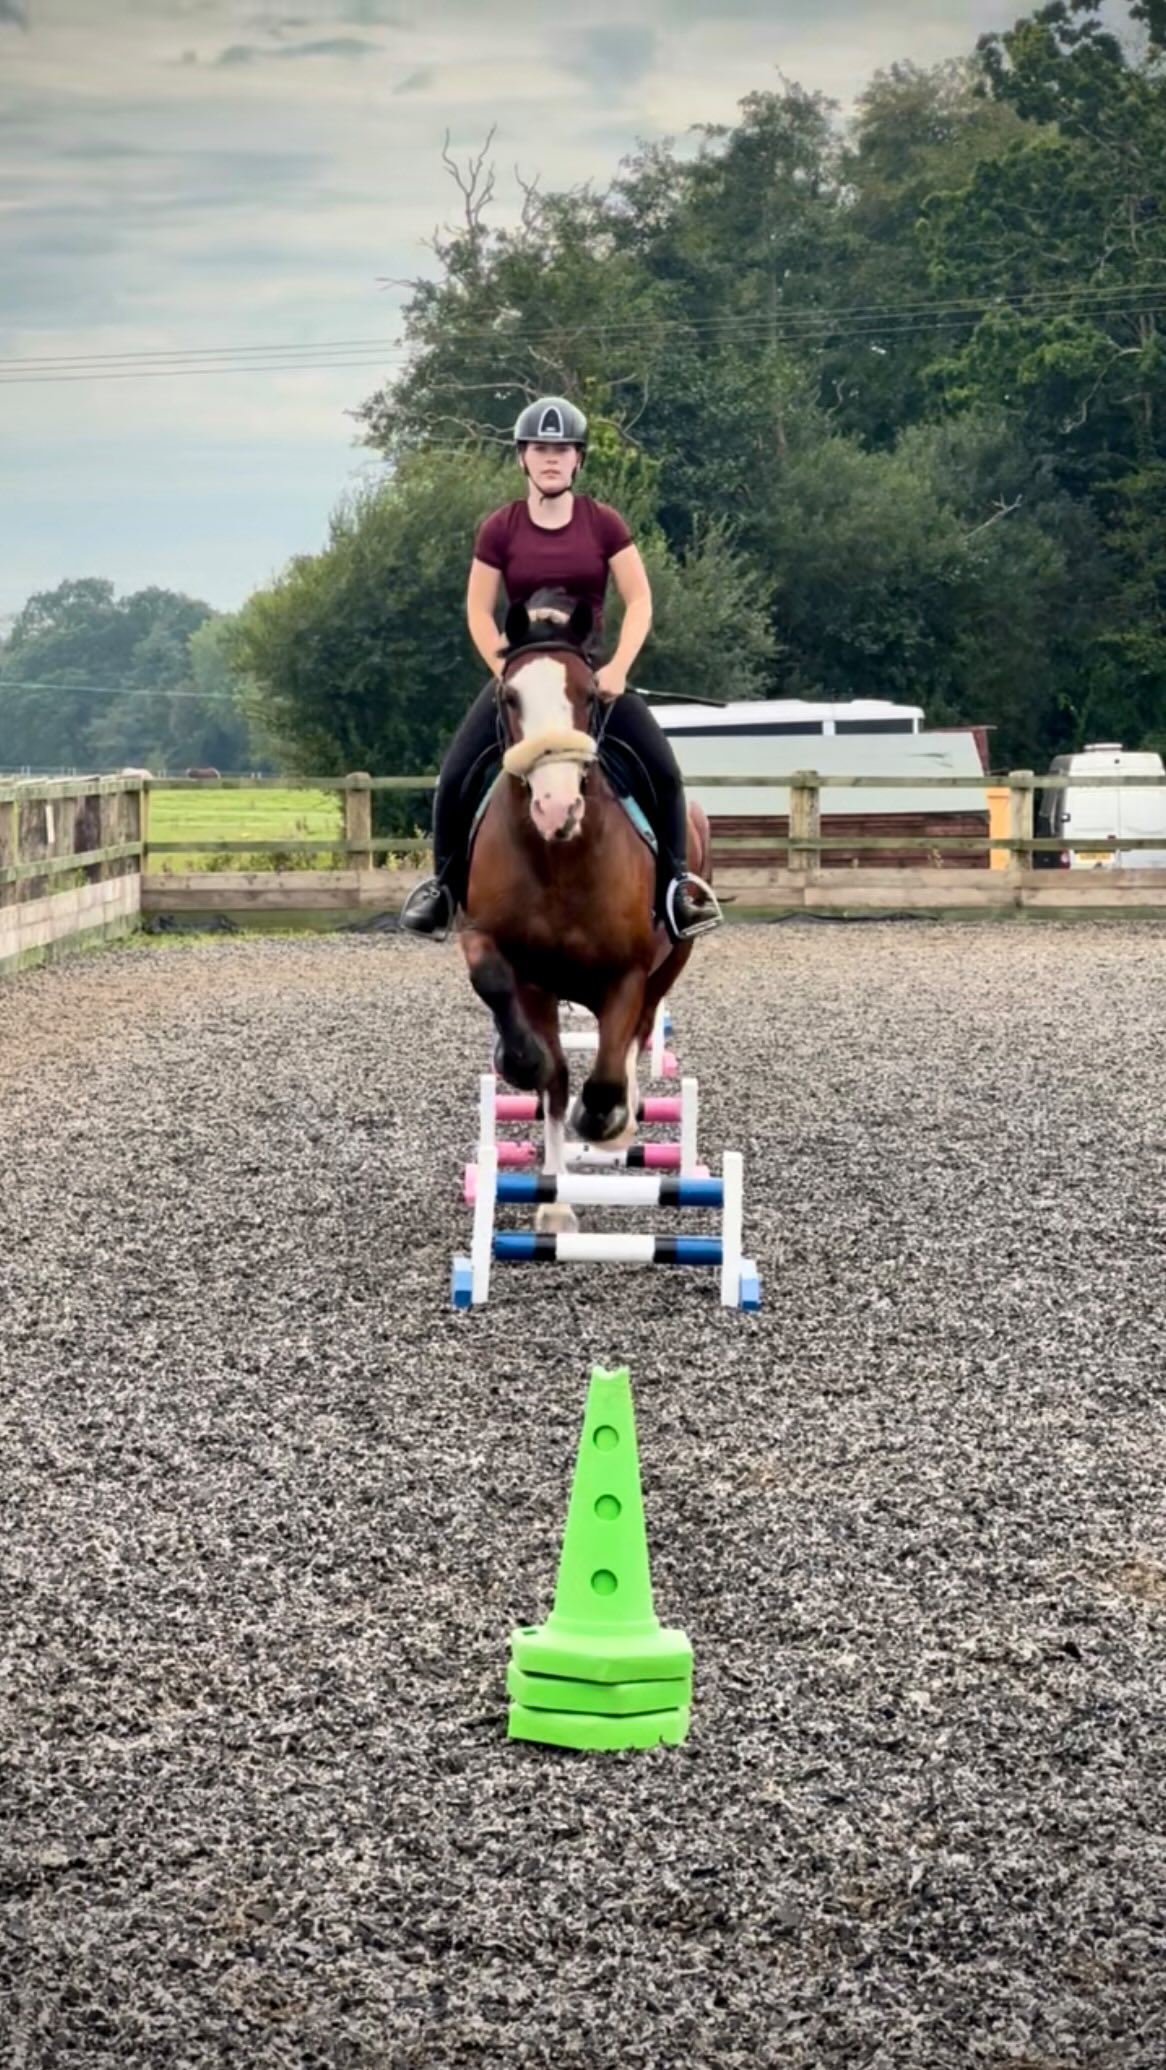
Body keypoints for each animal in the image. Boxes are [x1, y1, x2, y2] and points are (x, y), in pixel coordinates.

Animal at [458, 594, 713, 1231]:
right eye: (509, 697)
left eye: (591, 694)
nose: (557, 807)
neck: (560, 859)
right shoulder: (518, 967)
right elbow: (540, 1057)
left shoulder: (626, 974)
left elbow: (605, 1073)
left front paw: (605, 1122)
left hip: (674, 958)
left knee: (635, 1037)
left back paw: (620, 1121)